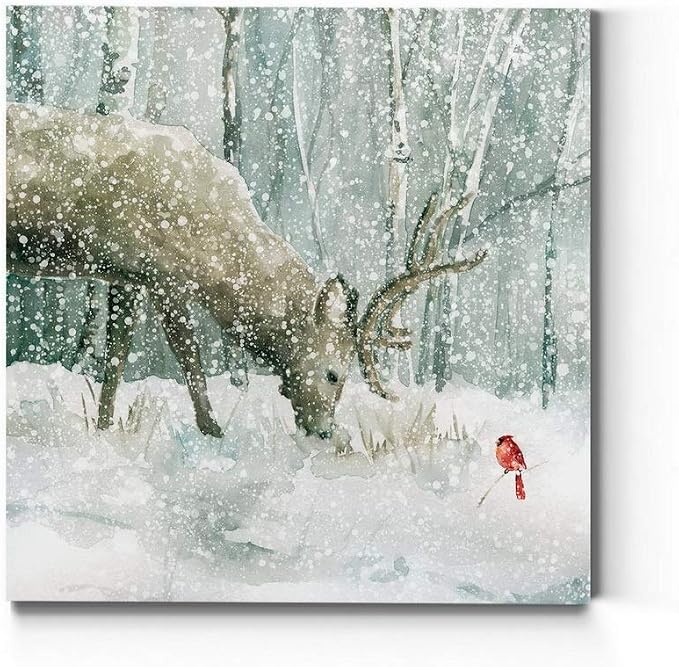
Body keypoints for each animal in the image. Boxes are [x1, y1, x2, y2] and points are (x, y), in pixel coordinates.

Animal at [6, 103, 486, 449]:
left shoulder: (127, 274)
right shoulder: (167, 275)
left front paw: (105, 428)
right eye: (335, 374)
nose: (326, 432)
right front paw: (214, 433)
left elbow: (116, 356)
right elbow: (189, 358)